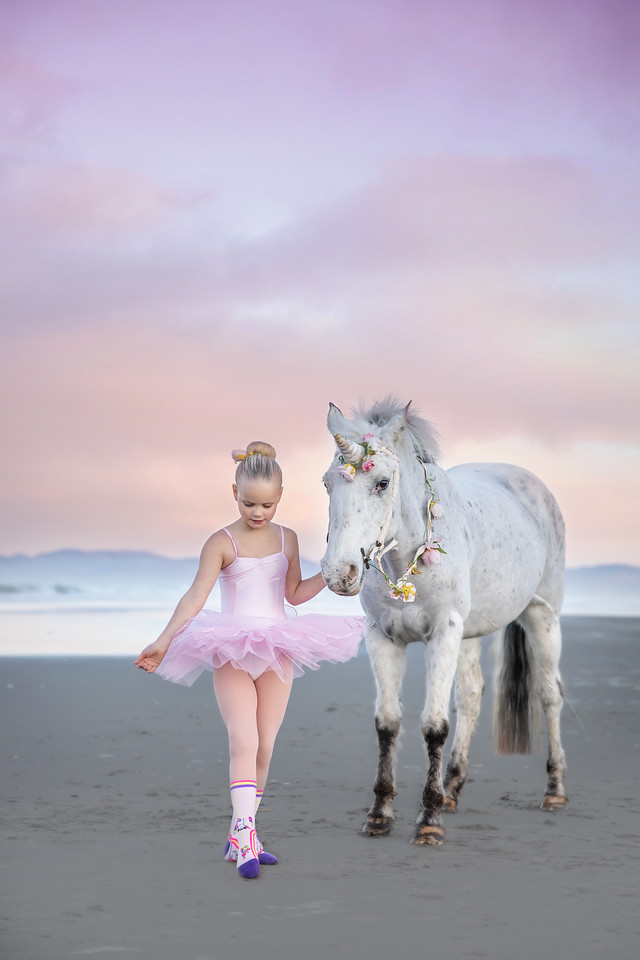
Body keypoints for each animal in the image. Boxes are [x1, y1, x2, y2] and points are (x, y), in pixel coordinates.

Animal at [322, 400, 568, 848]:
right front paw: (380, 814)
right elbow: (387, 723)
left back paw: (554, 791)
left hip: (542, 616)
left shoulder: (443, 633)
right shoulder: (381, 637)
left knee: (549, 695)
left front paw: (429, 821)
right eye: (328, 483)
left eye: (382, 483)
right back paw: (452, 788)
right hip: (469, 633)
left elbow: (434, 726)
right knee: (470, 696)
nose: (338, 573)